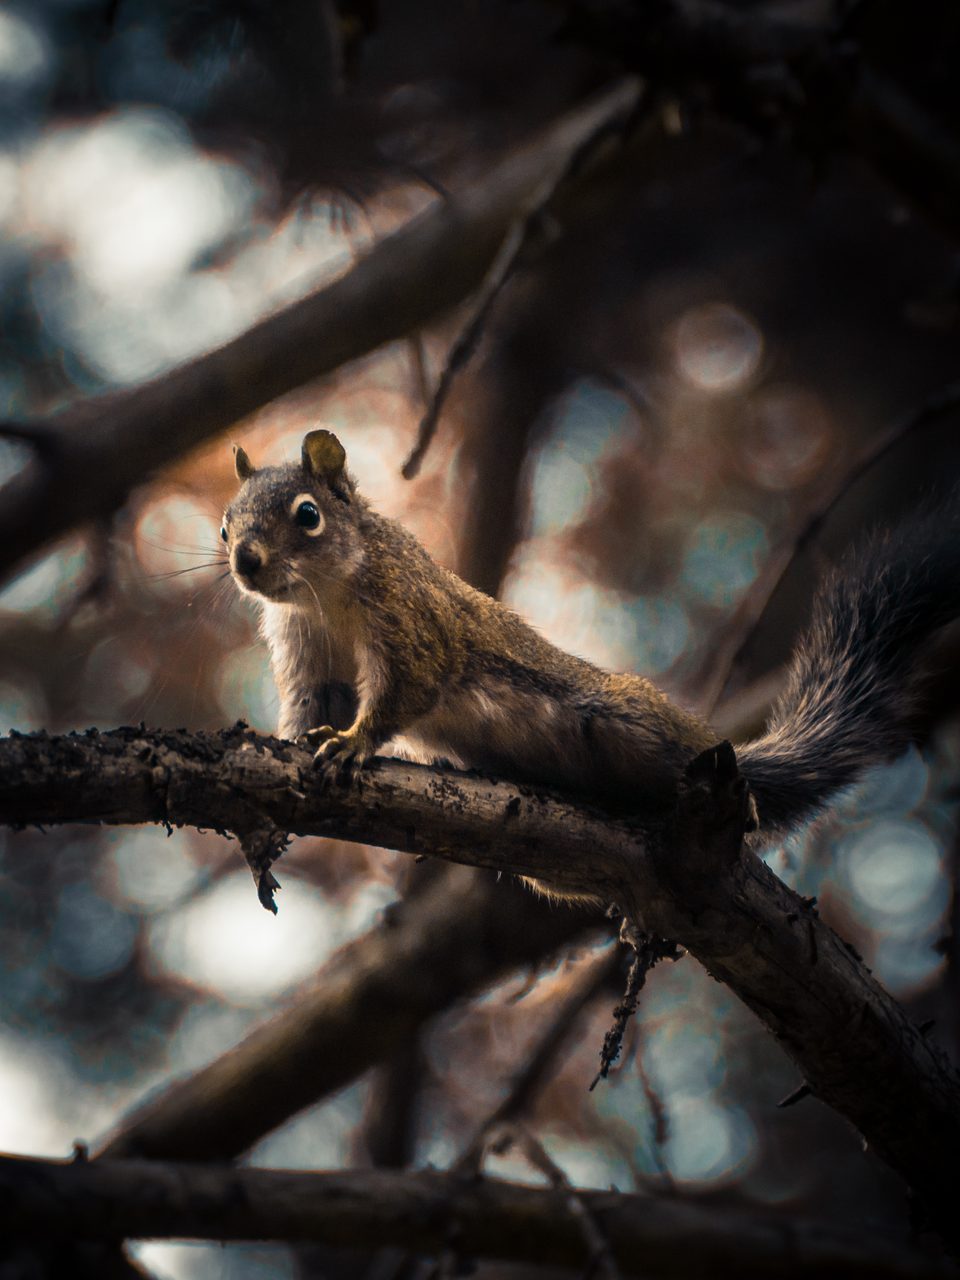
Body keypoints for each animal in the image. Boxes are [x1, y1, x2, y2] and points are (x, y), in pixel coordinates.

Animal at [223, 428, 960, 888]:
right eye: (227, 523)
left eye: (308, 514)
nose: (244, 562)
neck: (323, 597)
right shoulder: (308, 656)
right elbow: (313, 709)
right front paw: (275, 807)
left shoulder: (415, 624)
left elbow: (406, 688)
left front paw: (354, 744)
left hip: (631, 723)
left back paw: (742, 800)